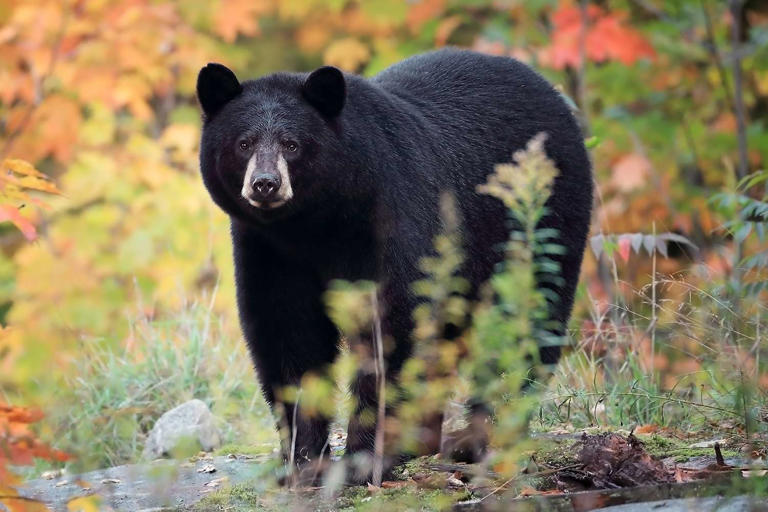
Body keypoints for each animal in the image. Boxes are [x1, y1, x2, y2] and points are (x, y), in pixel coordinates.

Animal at [196, 48, 593, 484]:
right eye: (243, 142)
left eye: (292, 144)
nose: (266, 183)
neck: (316, 222)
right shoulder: (268, 250)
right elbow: (287, 333)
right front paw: (302, 460)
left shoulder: (394, 216)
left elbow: (394, 325)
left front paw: (365, 458)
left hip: (540, 221)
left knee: (526, 318)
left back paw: (485, 437)